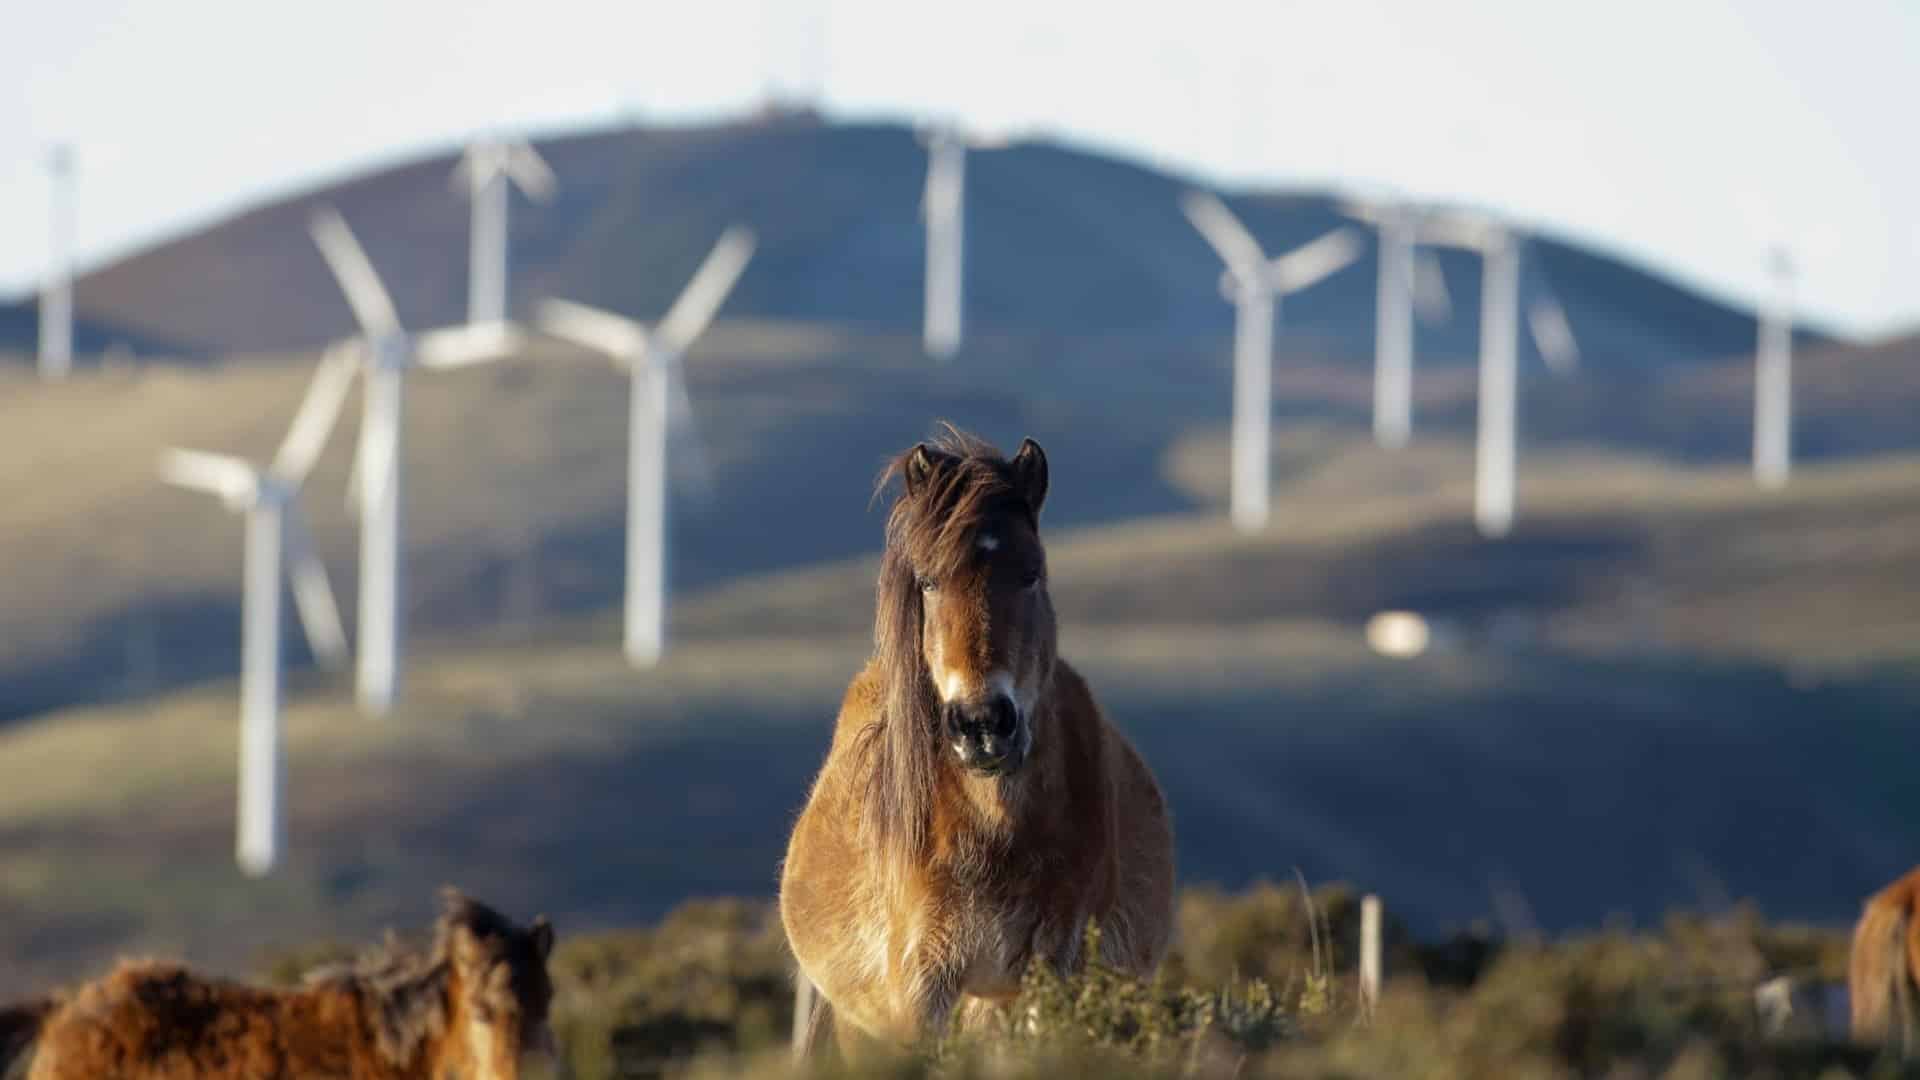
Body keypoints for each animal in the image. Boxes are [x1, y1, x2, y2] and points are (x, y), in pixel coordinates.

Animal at [775, 426, 1167, 1053]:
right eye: (929, 582)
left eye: (1031, 573)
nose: (983, 724)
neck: (992, 828)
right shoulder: (919, 989)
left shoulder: (1052, 970)